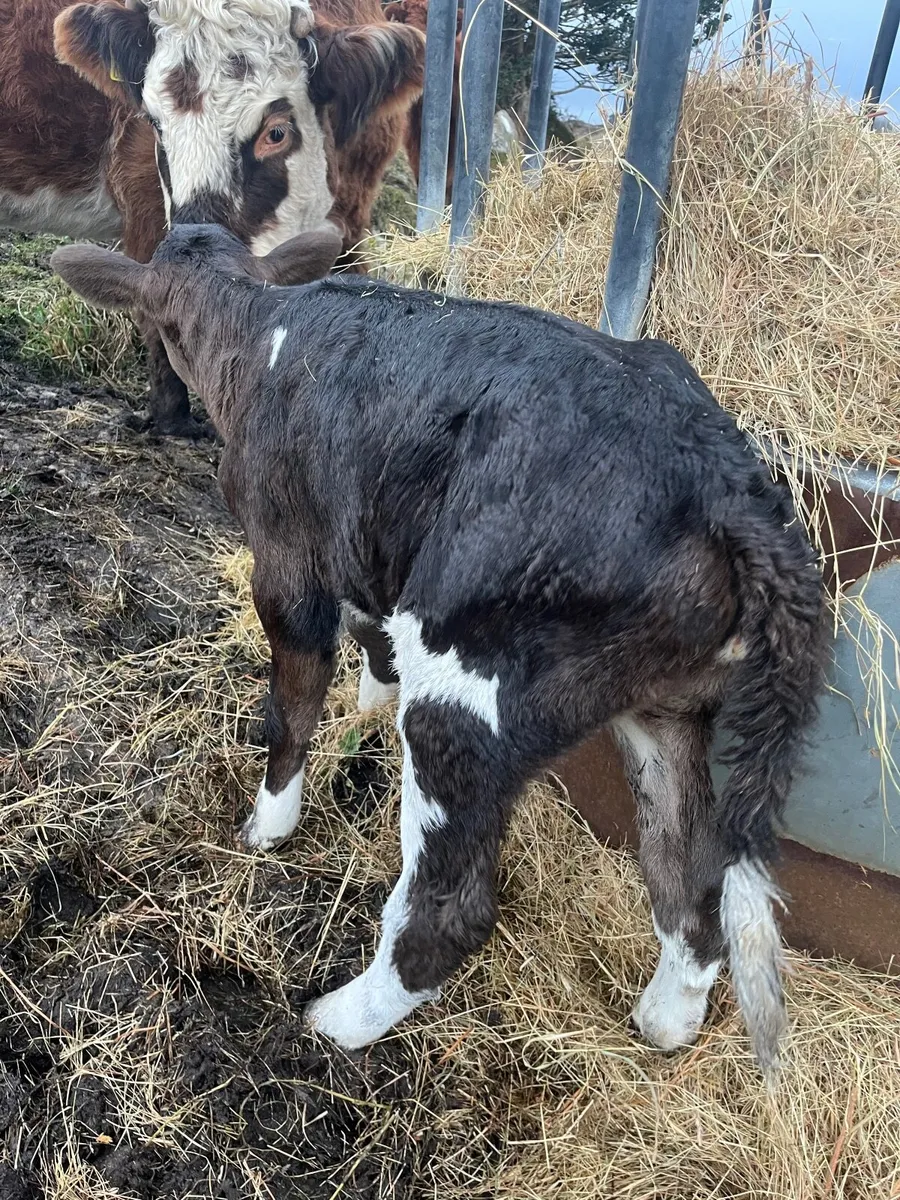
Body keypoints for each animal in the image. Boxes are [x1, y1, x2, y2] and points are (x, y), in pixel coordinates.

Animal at [51, 222, 829, 1074]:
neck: (258, 330)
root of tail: (728, 487)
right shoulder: (367, 553)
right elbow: (373, 653)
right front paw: (362, 720)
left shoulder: (288, 558)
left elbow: (291, 707)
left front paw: (267, 828)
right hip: (668, 702)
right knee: (691, 882)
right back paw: (663, 1021)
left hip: (471, 683)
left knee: (451, 910)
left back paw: (333, 1021)